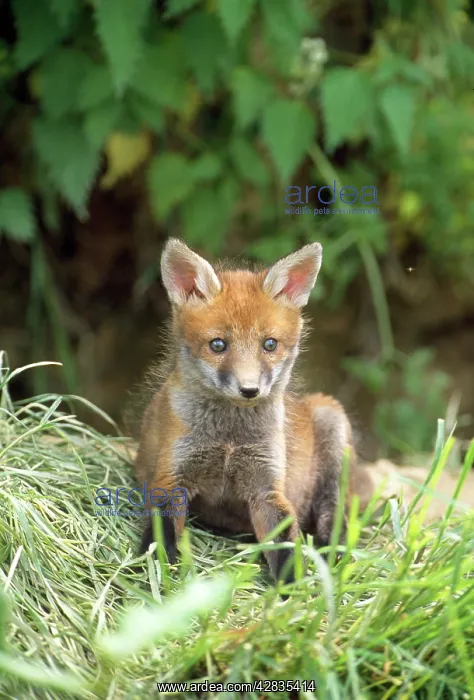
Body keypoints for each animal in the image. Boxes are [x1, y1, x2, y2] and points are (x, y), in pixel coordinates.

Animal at [134, 238, 370, 587]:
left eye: (269, 345)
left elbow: (286, 550)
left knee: (334, 514)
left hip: (332, 421)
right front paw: (153, 576)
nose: (249, 390)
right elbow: (160, 539)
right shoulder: (171, 477)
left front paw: (295, 593)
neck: (230, 439)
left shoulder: (267, 489)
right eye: (218, 345)